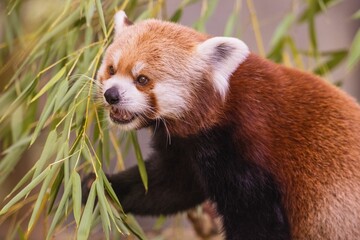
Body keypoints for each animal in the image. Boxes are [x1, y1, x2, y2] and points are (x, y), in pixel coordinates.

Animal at [85, 10, 360, 239]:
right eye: (111, 69)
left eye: (142, 79)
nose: (111, 94)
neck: (221, 109)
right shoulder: (187, 148)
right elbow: (167, 186)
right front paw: (97, 187)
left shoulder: (245, 149)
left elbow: (257, 222)